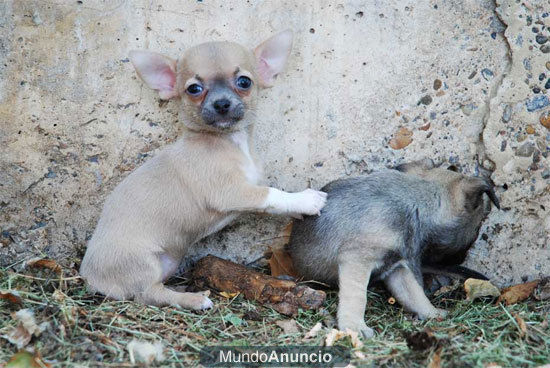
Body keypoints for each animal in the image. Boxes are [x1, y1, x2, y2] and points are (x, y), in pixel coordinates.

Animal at [81, 30, 328, 310]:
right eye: (194, 89)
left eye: (244, 82)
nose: (221, 104)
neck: (230, 142)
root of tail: (88, 276)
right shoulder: (230, 191)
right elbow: (270, 194)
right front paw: (306, 199)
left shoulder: (247, 187)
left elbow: (270, 199)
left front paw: (299, 210)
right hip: (143, 264)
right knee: (149, 294)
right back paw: (194, 298)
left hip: (168, 261)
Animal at [288, 160, 500, 338]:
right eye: (477, 228)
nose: (462, 259)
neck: (414, 200)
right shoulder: (357, 260)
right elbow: (357, 296)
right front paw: (355, 326)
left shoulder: (398, 268)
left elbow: (415, 295)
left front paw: (432, 313)